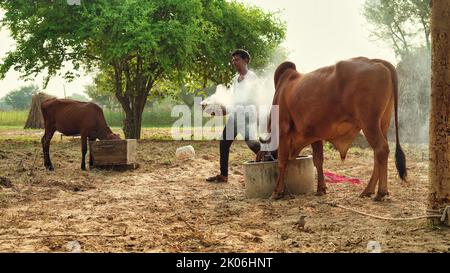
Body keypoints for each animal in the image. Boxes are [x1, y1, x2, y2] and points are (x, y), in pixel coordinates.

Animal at [256, 56, 408, 200]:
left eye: (262, 155)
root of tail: (375, 61)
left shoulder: (282, 130)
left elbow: (282, 161)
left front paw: (276, 192)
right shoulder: (314, 135)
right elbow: (318, 161)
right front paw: (321, 189)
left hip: (369, 124)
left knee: (381, 149)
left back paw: (380, 192)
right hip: (382, 124)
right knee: (378, 153)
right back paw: (368, 190)